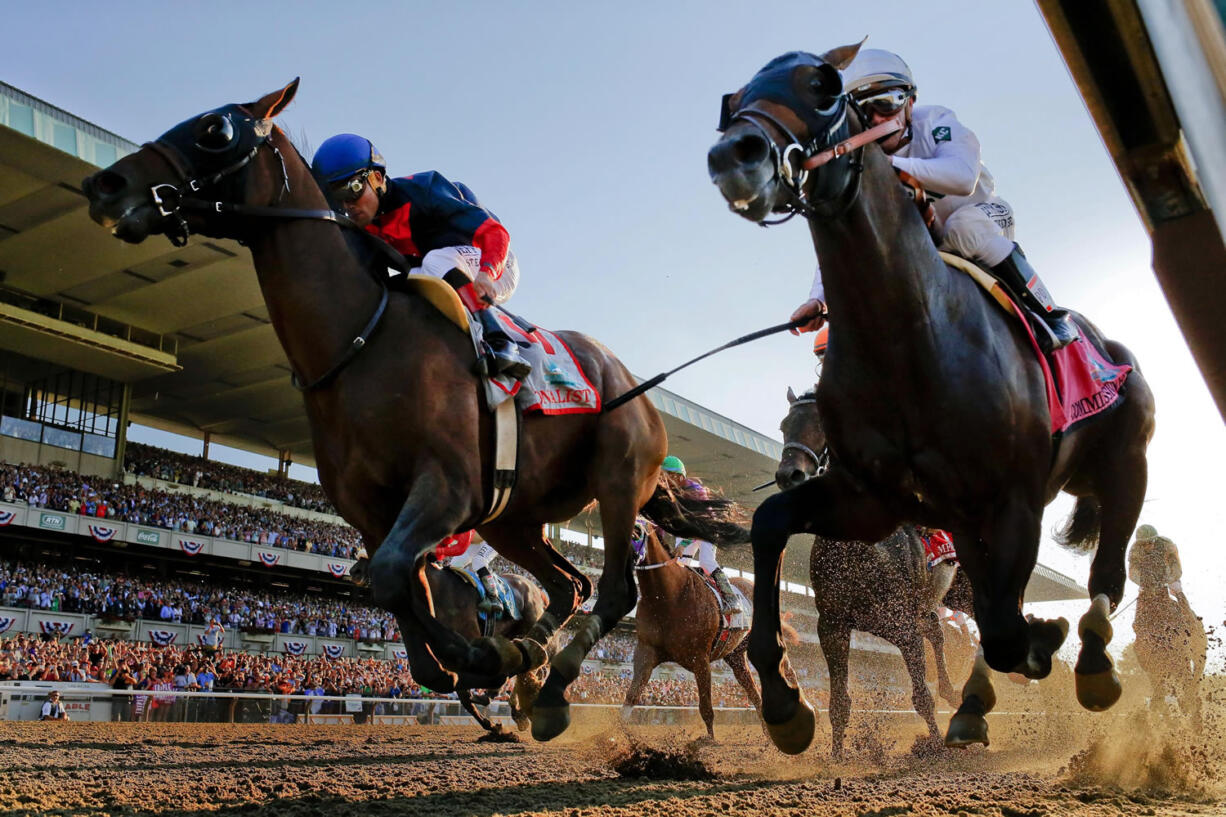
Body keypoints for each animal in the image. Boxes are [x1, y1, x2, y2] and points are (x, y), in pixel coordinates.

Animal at [81, 79, 745, 740]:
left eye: (215, 130)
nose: (105, 185)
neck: (362, 342)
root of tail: (635, 384)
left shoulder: (446, 489)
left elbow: (403, 580)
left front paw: (485, 659)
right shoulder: (374, 512)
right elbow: (397, 589)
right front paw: (488, 660)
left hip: (617, 480)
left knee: (612, 590)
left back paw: (552, 688)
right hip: (513, 518)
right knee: (569, 585)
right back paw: (532, 655)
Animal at [627, 522, 760, 736]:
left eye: (637, 531)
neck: (668, 596)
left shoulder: (700, 659)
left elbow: (706, 709)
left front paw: (709, 742)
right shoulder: (646, 651)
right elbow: (631, 697)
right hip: (736, 654)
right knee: (755, 694)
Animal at [706, 49, 1152, 750]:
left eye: (823, 87)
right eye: (734, 98)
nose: (735, 154)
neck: (908, 338)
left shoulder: (1011, 499)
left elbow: (999, 632)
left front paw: (1041, 643)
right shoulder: (871, 504)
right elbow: (771, 525)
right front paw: (784, 701)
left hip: (1124, 462)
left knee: (1103, 575)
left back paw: (1092, 666)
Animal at [1127, 527, 1206, 726]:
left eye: (1159, 561)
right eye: (1141, 562)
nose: (1149, 582)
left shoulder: (1180, 657)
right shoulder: (1151, 664)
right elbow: (1159, 697)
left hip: (1198, 651)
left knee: (1195, 682)